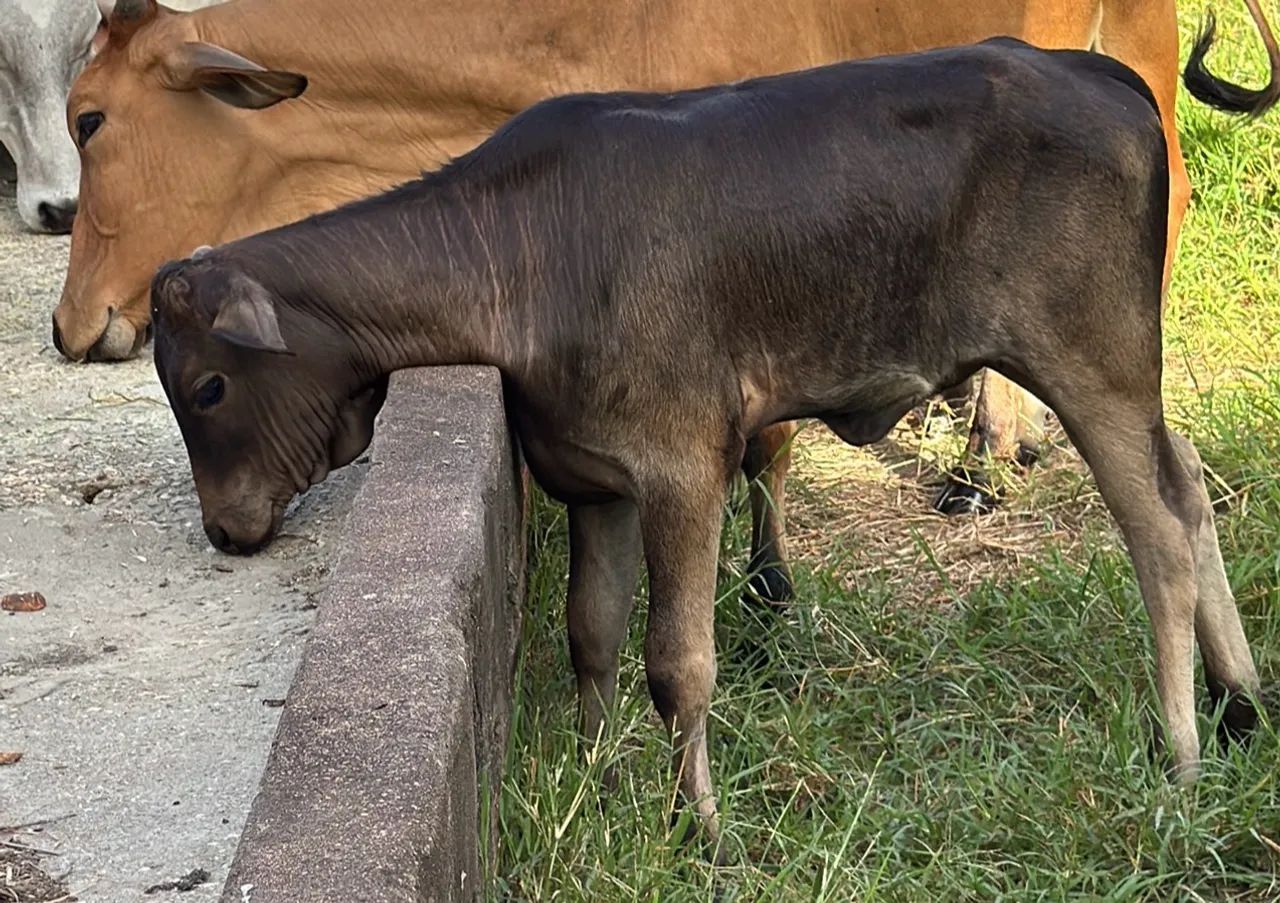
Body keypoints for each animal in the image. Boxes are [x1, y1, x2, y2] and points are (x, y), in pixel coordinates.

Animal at [149, 40, 1261, 857]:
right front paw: (597, 778)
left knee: (1158, 531)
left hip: (1091, 360)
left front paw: (701, 828)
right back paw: (1241, 701)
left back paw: (1181, 754)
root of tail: (1091, 70)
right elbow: (591, 633)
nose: (224, 528)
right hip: (1124, 377)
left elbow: (676, 663)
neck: (522, 251)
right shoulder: (589, 480)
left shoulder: (681, 470)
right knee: (1189, 480)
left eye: (206, 386)